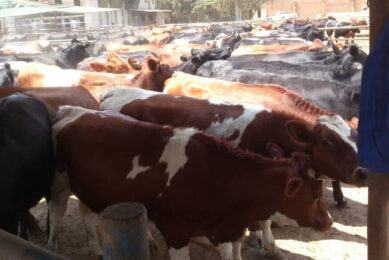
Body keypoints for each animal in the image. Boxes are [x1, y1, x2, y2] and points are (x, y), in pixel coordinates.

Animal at [48, 105, 332, 258]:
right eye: (316, 195)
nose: (328, 221)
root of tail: (76, 110)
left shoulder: (225, 230)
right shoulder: (175, 233)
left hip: (92, 188)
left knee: (87, 213)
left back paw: (97, 248)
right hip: (59, 183)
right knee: (57, 215)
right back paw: (52, 245)